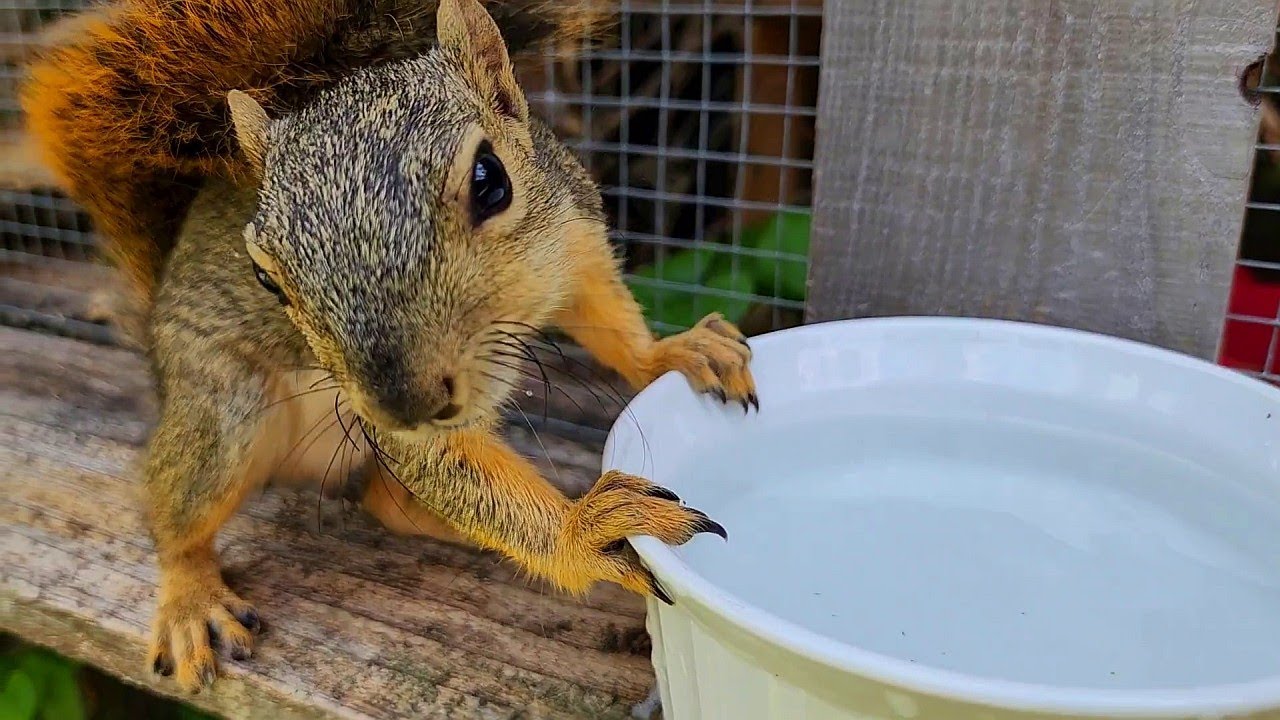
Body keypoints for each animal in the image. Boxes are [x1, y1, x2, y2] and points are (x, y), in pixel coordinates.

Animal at [23, 0, 759, 694]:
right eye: (264, 277)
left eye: (491, 180)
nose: (405, 405)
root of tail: (155, 324)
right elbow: (439, 461)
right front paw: (584, 529)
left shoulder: (575, 243)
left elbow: (608, 318)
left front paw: (673, 353)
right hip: (223, 407)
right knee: (177, 510)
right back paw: (188, 599)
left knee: (387, 500)